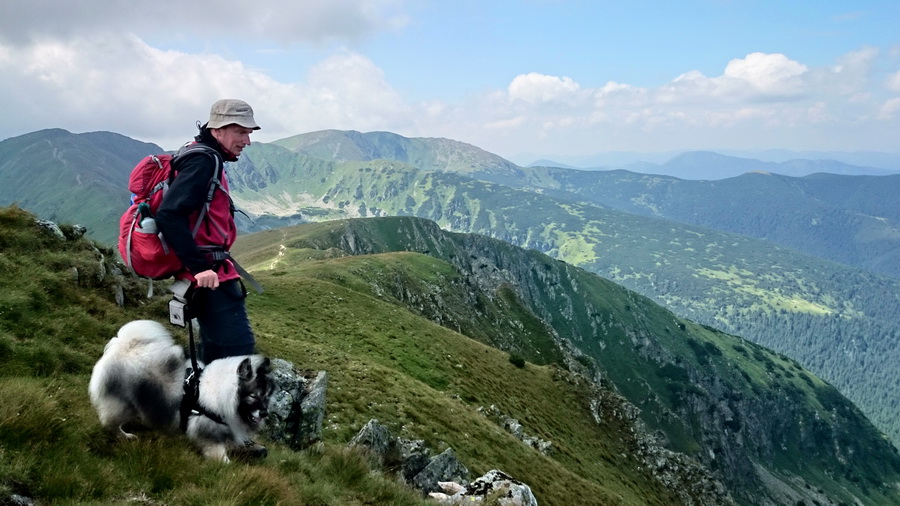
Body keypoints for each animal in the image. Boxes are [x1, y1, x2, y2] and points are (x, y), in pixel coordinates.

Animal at [87, 320, 272, 462]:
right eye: (252, 395)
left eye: (266, 397)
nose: (264, 413)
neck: (225, 392)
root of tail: (125, 345)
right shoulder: (207, 430)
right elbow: (217, 450)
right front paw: (224, 463)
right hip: (124, 403)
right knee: (110, 422)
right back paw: (124, 436)